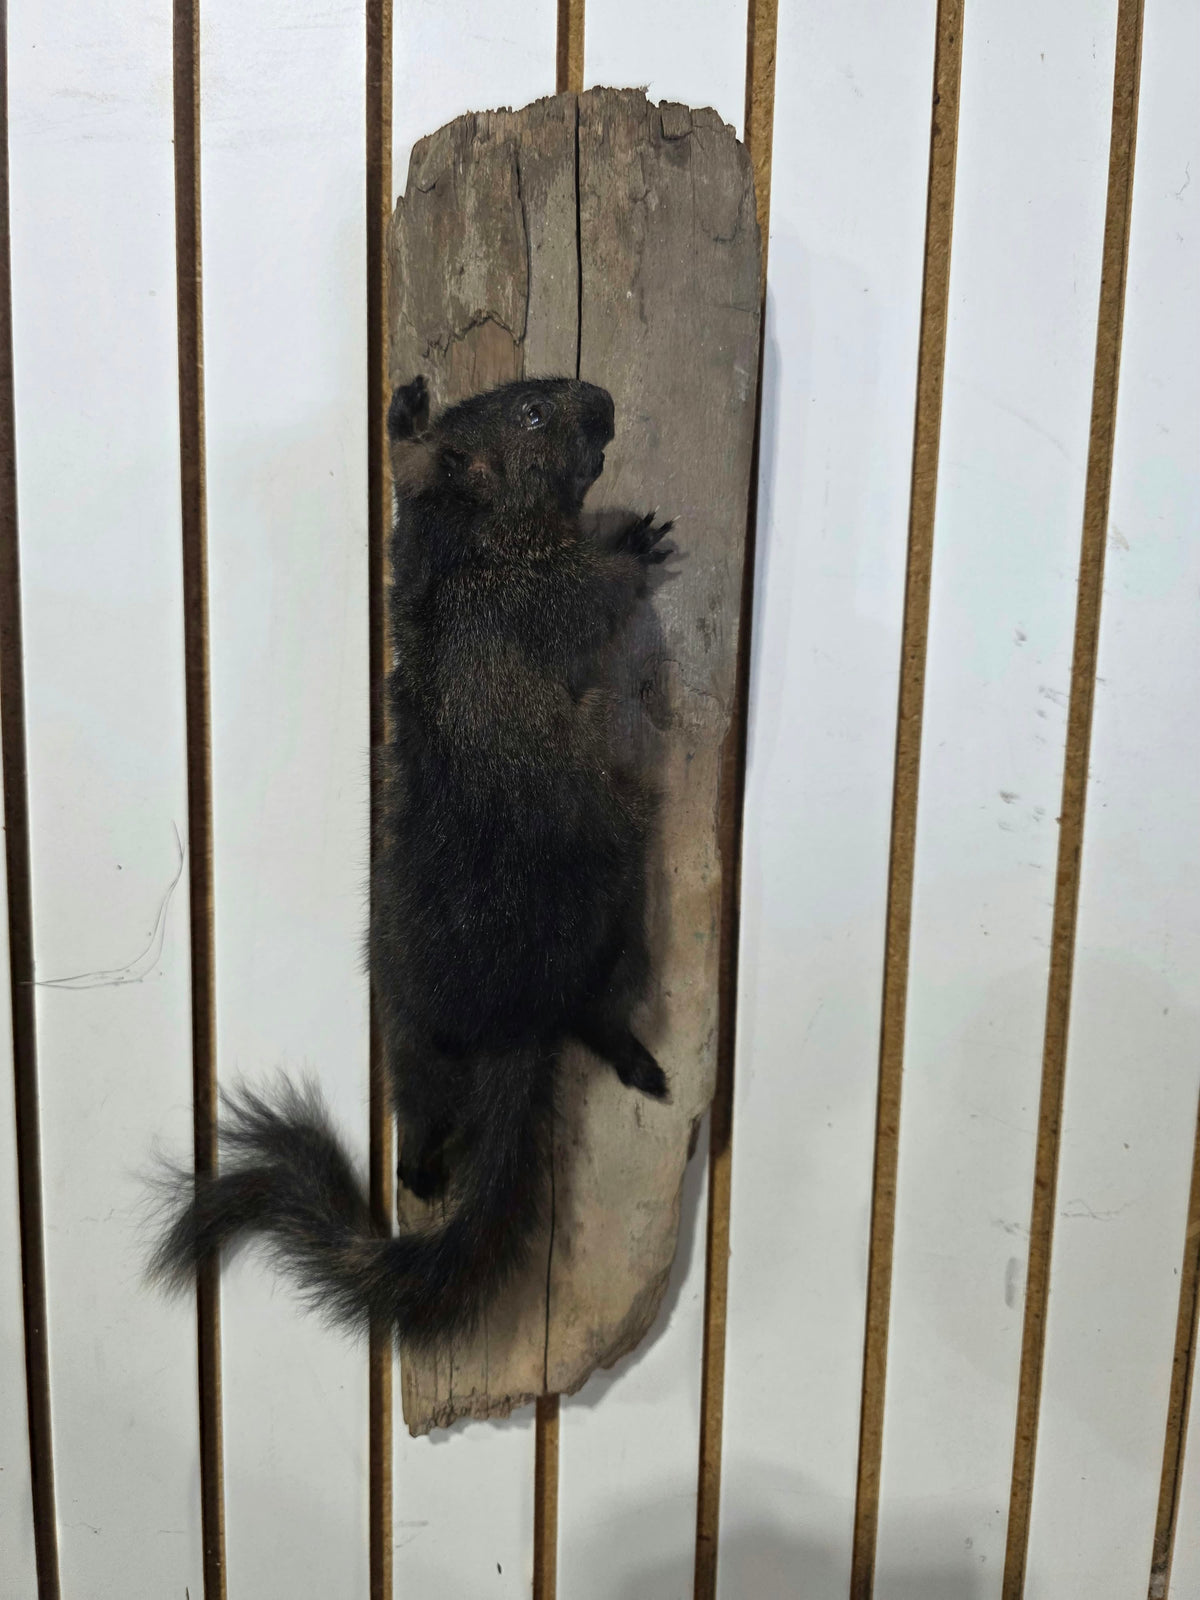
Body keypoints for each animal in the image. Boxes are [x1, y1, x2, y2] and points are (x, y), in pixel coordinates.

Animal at [151, 375, 674, 1349]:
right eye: (534, 414)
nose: (603, 397)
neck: (462, 543)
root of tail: (511, 1020)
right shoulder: (549, 590)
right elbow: (603, 591)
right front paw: (636, 540)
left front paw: (404, 410)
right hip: (615, 910)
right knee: (597, 1014)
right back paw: (634, 1059)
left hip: (405, 1033)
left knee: (421, 1125)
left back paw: (426, 1172)